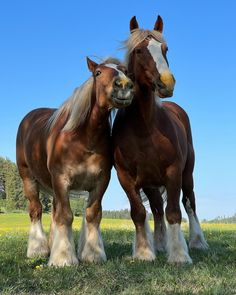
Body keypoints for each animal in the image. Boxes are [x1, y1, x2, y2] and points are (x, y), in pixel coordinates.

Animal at [16, 57, 135, 266]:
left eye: (126, 71)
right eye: (97, 73)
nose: (123, 85)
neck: (83, 138)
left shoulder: (100, 181)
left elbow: (92, 215)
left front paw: (92, 254)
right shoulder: (61, 180)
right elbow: (66, 216)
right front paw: (63, 258)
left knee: (53, 213)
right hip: (28, 178)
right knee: (36, 210)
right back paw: (38, 250)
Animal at [111, 16, 207, 264]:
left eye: (165, 49)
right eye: (139, 51)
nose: (166, 82)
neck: (144, 128)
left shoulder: (173, 172)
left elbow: (174, 212)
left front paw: (180, 256)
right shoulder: (126, 178)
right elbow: (139, 213)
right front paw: (145, 252)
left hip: (187, 174)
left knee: (189, 203)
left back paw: (197, 242)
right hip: (150, 182)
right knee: (156, 208)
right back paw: (161, 244)